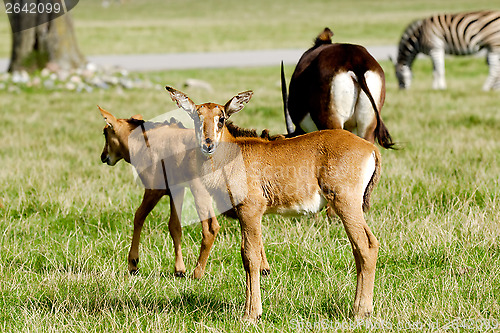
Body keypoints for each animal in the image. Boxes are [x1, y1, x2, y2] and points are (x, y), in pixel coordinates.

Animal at [166, 85, 380, 322]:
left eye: (221, 118)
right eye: (197, 117)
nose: (208, 144)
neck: (233, 155)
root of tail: (370, 148)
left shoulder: (251, 210)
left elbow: (251, 257)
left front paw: (252, 314)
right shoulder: (244, 215)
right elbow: (245, 255)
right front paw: (250, 310)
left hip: (346, 204)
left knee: (366, 246)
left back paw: (361, 311)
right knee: (358, 249)